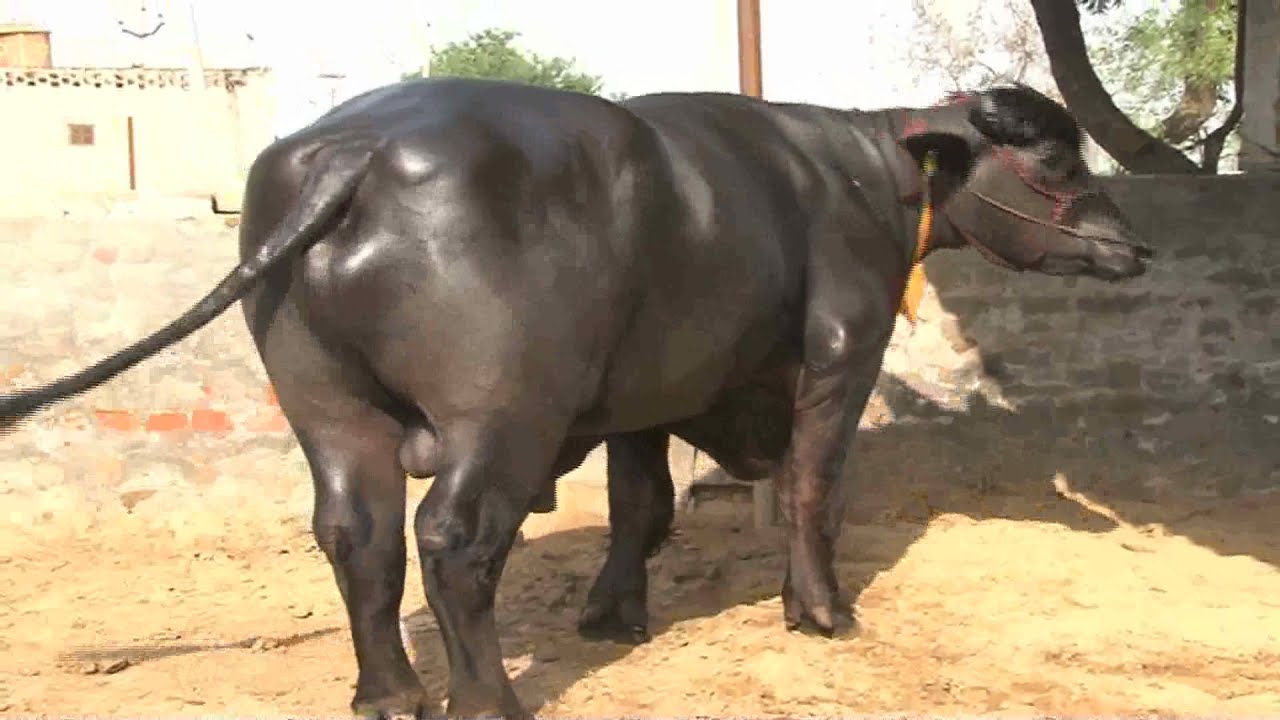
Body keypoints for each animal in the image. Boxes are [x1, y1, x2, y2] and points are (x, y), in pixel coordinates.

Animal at [0, 78, 1151, 719]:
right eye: (1054, 162)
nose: (1133, 248)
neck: (863, 178)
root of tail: (354, 149)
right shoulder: (839, 359)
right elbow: (813, 490)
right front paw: (821, 611)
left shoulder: (643, 396)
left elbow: (641, 504)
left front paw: (611, 616)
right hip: (499, 414)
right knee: (453, 539)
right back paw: (487, 704)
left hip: (327, 409)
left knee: (355, 533)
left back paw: (390, 695)